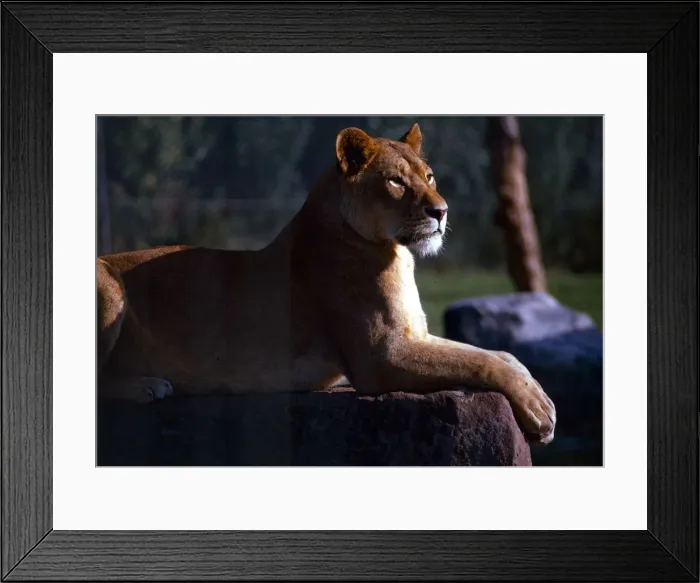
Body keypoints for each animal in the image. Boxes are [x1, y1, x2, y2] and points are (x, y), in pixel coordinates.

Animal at [97, 123, 555, 444]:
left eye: (429, 176)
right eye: (396, 181)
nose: (441, 212)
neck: (396, 253)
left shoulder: (414, 335)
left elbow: (497, 353)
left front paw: (536, 392)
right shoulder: (380, 357)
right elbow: (480, 361)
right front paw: (539, 409)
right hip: (110, 289)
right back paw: (148, 385)